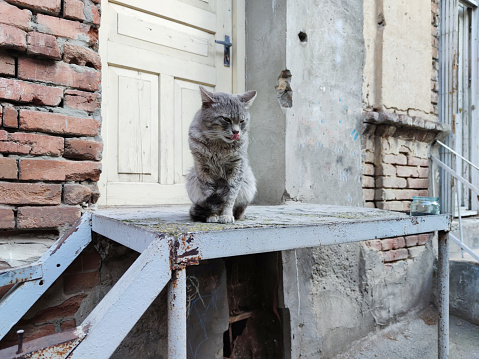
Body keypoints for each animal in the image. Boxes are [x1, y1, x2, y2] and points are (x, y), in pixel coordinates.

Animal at [186, 86, 256, 224]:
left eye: (242, 121)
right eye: (226, 119)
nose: (236, 132)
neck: (219, 147)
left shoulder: (237, 169)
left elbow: (230, 197)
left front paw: (226, 215)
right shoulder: (203, 170)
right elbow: (209, 194)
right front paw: (213, 215)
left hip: (248, 182)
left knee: (240, 209)